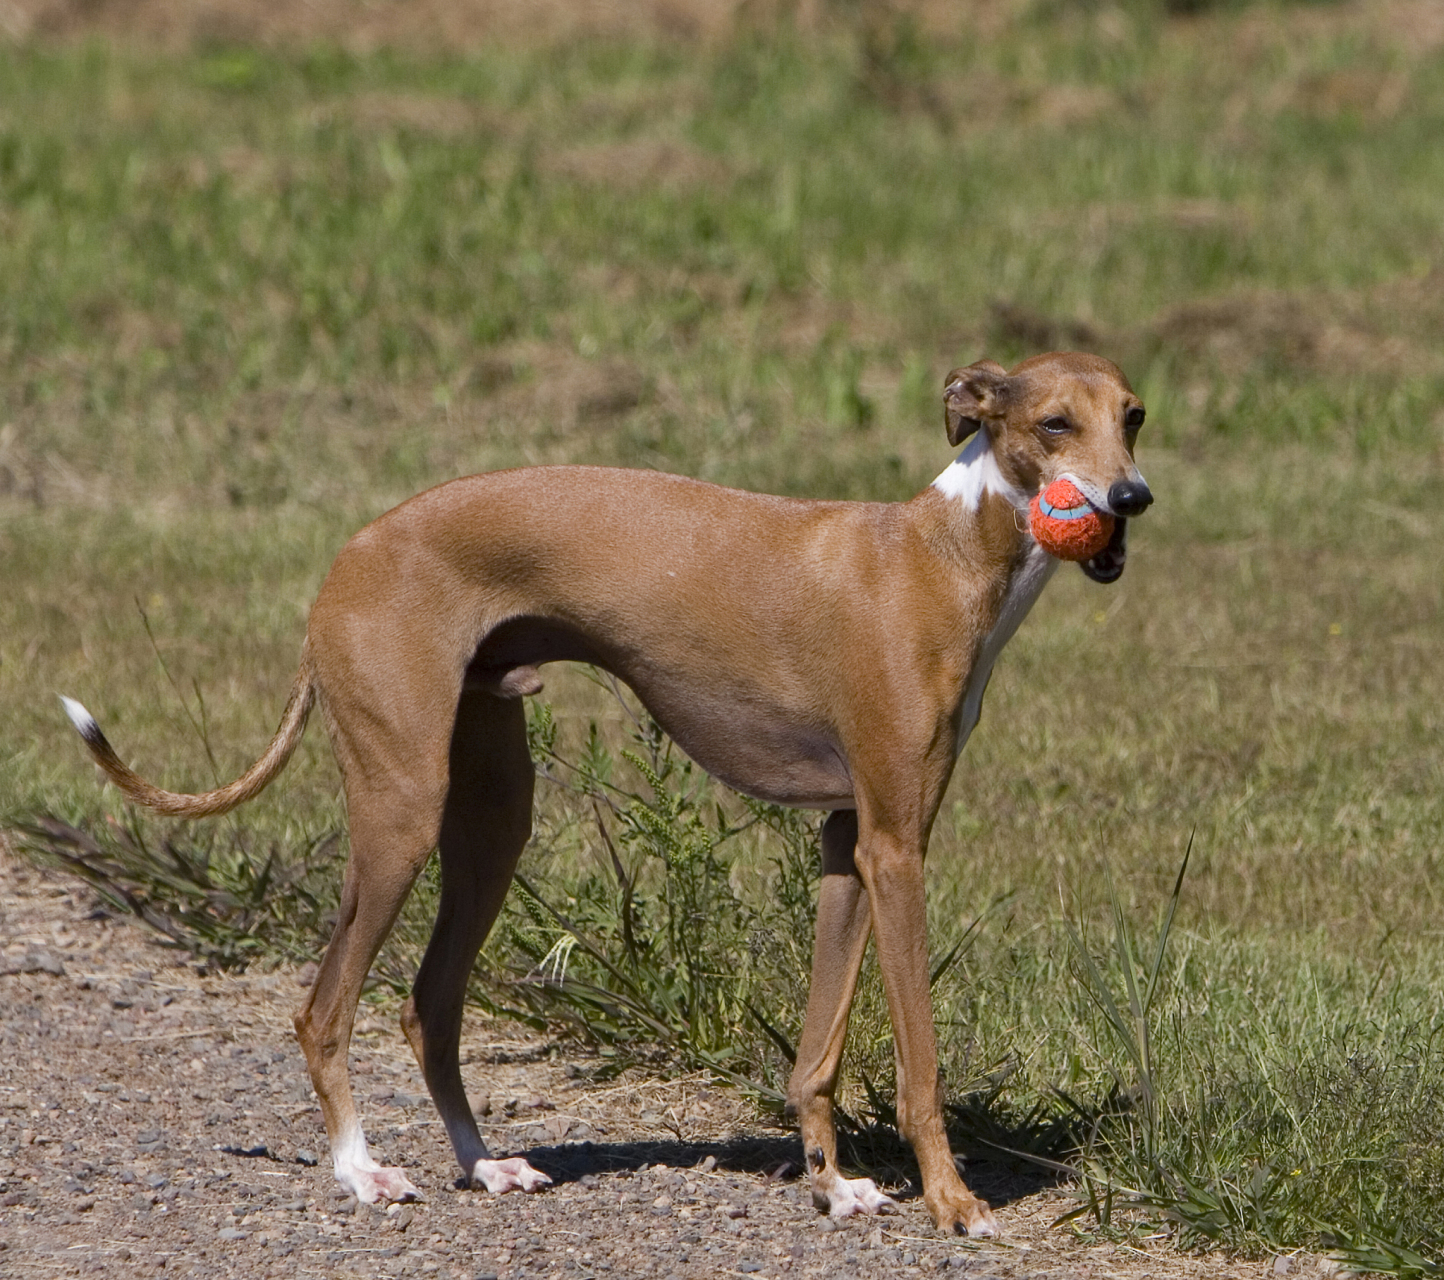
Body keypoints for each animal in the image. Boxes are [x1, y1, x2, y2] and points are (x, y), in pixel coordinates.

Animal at [64, 353, 1149, 1242]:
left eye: (1133, 414)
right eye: (1055, 422)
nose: (1130, 495)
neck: (936, 554)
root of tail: (349, 557)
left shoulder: (849, 841)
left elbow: (818, 1048)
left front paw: (831, 1184)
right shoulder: (895, 846)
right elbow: (919, 1058)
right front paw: (953, 1201)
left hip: (492, 820)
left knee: (429, 1005)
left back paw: (484, 1163)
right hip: (402, 807)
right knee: (323, 1008)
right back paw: (361, 1170)